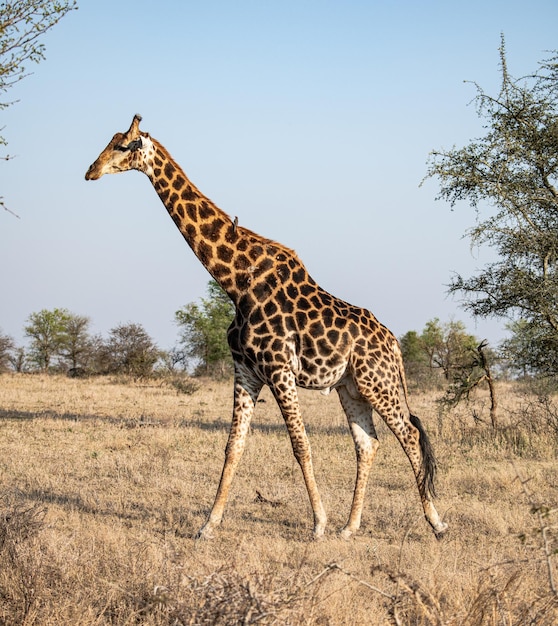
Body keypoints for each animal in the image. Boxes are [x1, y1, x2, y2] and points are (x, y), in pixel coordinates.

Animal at [86, 116, 450, 536]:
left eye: (123, 146)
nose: (91, 171)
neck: (236, 283)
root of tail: (393, 343)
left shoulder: (279, 370)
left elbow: (300, 445)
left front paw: (318, 524)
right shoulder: (245, 370)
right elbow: (234, 446)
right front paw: (208, 526)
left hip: (379, 382)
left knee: (409, 433)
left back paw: (436, 522)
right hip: (352, 387)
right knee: (368, 442)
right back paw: (350, 527)